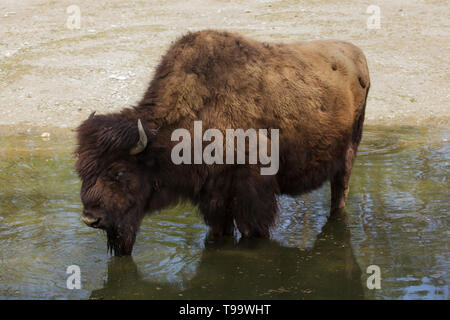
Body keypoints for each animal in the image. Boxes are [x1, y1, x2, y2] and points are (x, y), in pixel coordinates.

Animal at [74, 29, 370, 255]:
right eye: (82, 172)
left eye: (118, 171)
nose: (90, 218)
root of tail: (358, 55)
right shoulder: (213, 197)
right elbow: (220, 229)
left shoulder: (252, 196)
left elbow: (253, 229)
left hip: (349, 151)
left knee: (340, 191)